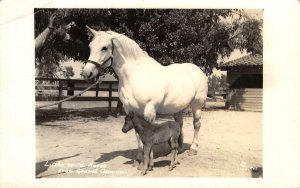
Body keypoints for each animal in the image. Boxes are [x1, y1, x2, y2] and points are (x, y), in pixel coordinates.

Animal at [81, 26, 209, 163]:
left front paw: (149, 159)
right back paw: (178, 149)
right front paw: (139, 157)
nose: (86, 73)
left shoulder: (149, 110)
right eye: (90, 46)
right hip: (177, 108)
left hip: (197, 105)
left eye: (104, 47)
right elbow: (138, 133)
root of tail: (198, 70)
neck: (136, 75)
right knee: (179, 124)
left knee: (197, 124)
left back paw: (193, 149)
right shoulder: (130, 110)